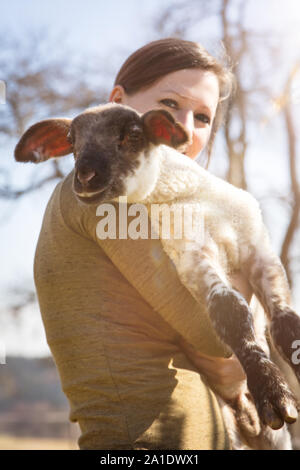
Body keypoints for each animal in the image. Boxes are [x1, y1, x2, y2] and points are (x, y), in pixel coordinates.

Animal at [14, 102, 300, 448]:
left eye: (133, 134)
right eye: (71, 140)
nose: (84, 178)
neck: (191, 198)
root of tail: (247, 421)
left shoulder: (259, 249)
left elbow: (286, 323)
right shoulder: (190, 254)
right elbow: (230, 310)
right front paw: (273, 392)